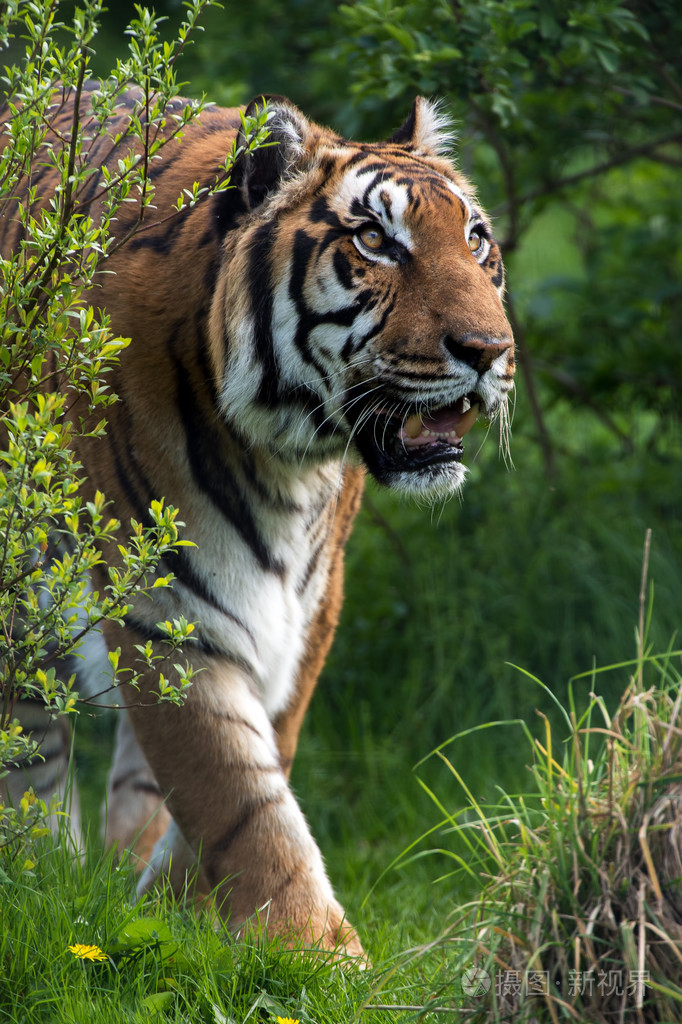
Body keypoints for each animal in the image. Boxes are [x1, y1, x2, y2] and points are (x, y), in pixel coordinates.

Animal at [0, 83, 514, 958]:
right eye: (375, 240)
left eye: (476, 241)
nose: (488, 349)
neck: (287, 463)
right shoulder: (170, 610)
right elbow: (239, 795)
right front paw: (321, 954)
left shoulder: (309, 605)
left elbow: (253, 759)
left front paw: (168, 911)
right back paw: (38, 875)